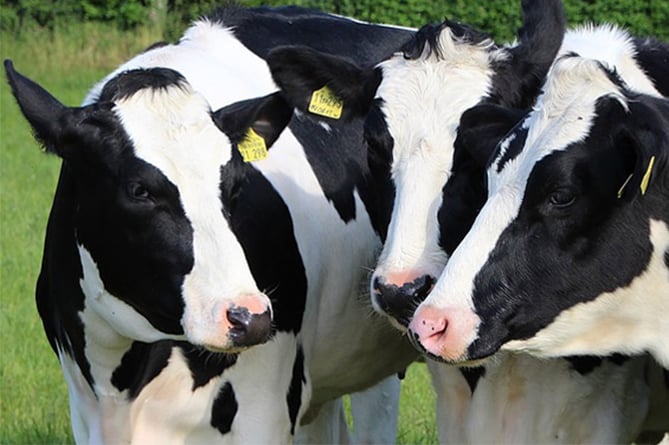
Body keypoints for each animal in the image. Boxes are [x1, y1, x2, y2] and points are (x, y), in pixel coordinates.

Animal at [6, 6, 420, 444]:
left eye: (236, 184)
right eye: (140, 190)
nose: (248, 317)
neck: (128, 375)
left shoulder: (264, 409)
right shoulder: (85, 409)